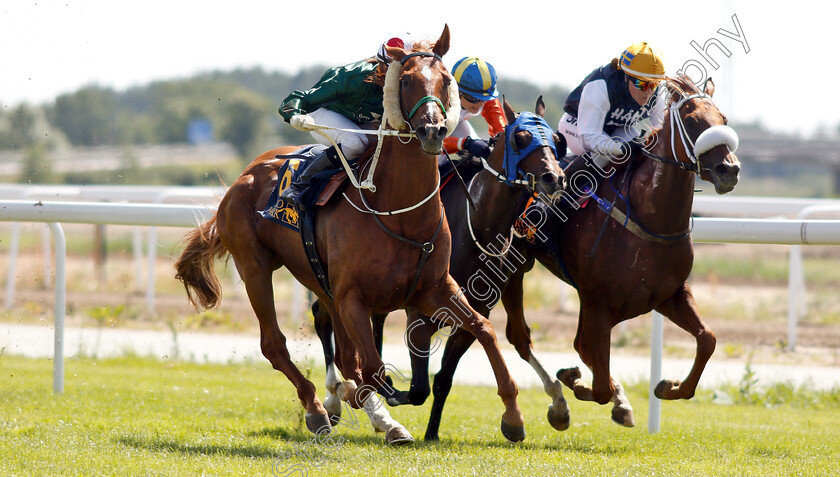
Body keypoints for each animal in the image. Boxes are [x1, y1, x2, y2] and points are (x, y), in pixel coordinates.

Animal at [172, 25, 524, 442]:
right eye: (406, 80)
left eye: (445, 80)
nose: (433, 129)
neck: (400, 215)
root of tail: (248, 171)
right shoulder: (354, 297)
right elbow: (371, 368)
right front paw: (360, 404)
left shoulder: (435, 288)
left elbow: (483, 330)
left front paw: (513, 415)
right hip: (255, 266)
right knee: (275, 345)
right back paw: (317, 410)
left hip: (319, 280)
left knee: (341, 353)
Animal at [378, 74, 740, 438]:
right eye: (692, 121)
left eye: (723, 120)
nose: (730, 170)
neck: (648, 216)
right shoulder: (597, 302)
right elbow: (596, 375)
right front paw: (579, 384)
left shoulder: (669, 294)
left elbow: (707, 339)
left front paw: (668, 387)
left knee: (529, 339)